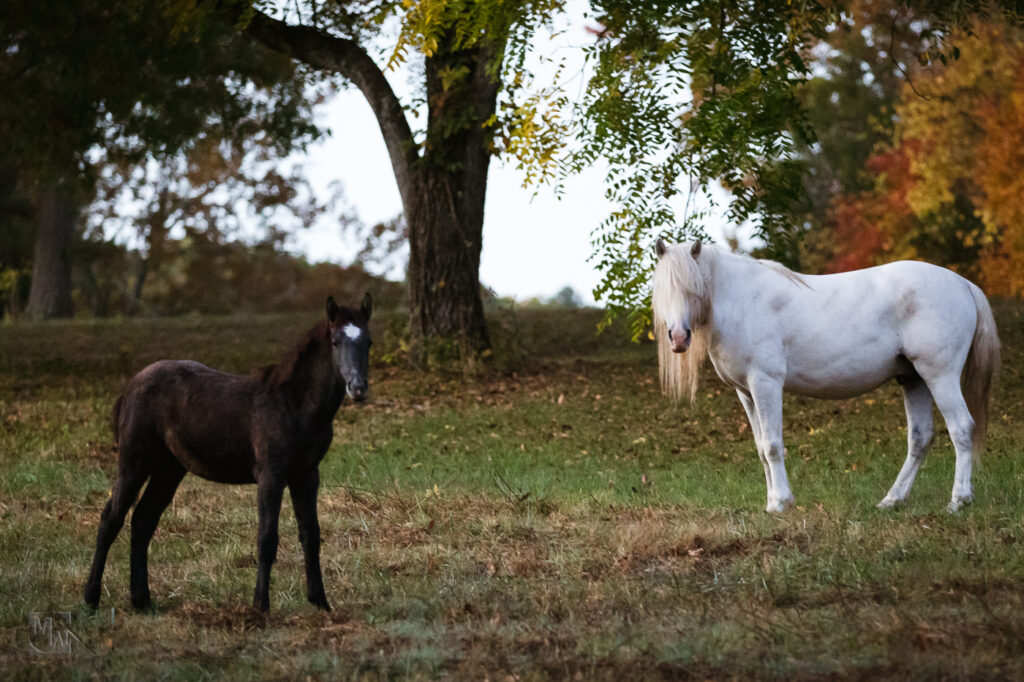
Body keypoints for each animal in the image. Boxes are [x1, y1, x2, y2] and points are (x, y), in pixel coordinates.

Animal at [655, 238, 999, 509]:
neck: (743, 301)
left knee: (962, 428)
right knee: (920, 438)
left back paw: (959, 501)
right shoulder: (746, 392)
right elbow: (761, 447)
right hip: (914, 380)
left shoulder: (765, 383)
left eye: (692, 288)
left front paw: (781, 503)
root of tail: (963, 284)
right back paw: (892, 500)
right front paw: (771, 501)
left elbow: (773, 445)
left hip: (940, 376)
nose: (678, 337)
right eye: (662, 290)